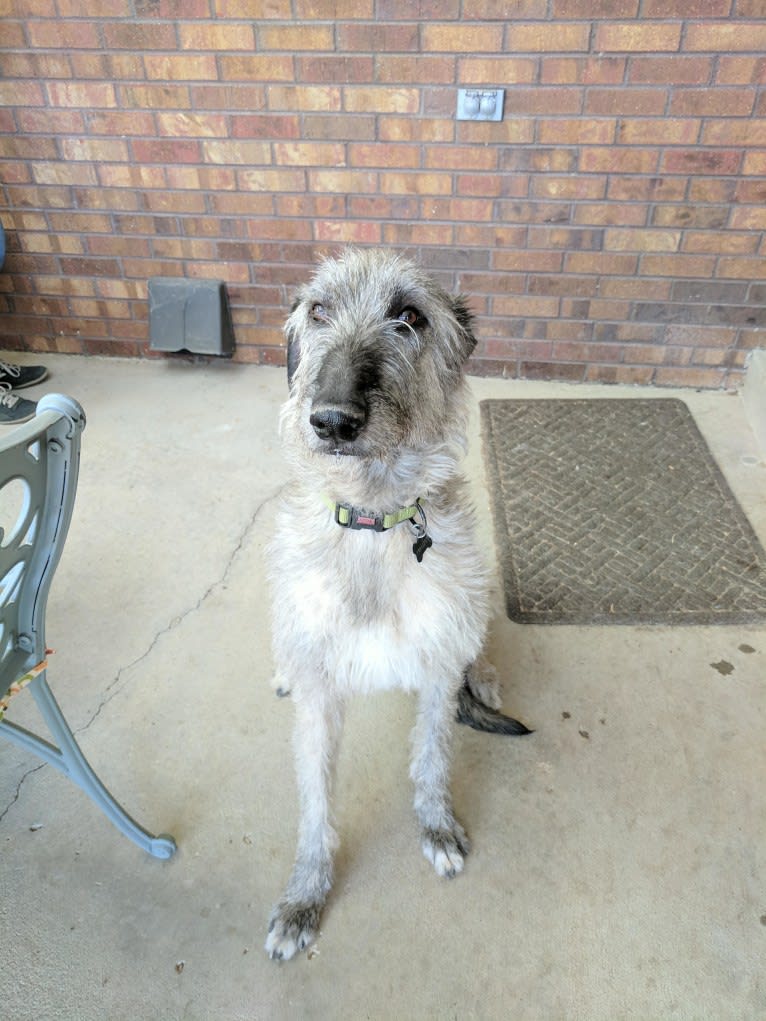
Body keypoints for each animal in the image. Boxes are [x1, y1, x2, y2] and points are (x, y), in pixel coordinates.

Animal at [263, 251, 527, 959]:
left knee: (478, 642)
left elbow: (431, 759)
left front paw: (436, 827)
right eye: (318, 310)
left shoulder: (435, 671)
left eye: (409, 316)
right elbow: (315, 803)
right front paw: (305, 894)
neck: (373, 521)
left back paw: (484, 674)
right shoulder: (320, 700)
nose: (331, 420)